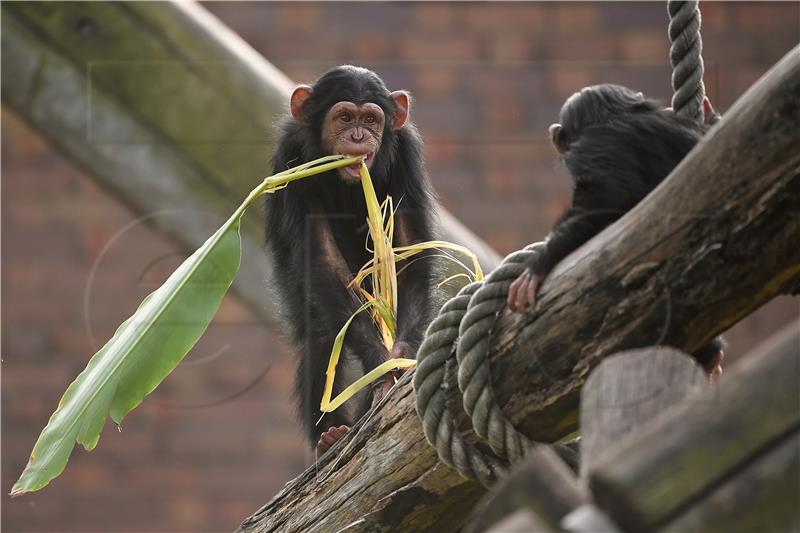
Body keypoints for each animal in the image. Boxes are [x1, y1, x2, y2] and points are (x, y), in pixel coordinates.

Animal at [266, 65, 440, 454]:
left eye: (371, 120)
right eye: (344, 117)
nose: (359, 136)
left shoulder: (407, 154)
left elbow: (411, 249)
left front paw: (399, 357)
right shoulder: (292, 157)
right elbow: (324, 257)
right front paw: (382, 366)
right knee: (322, 331)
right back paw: (330, 435)